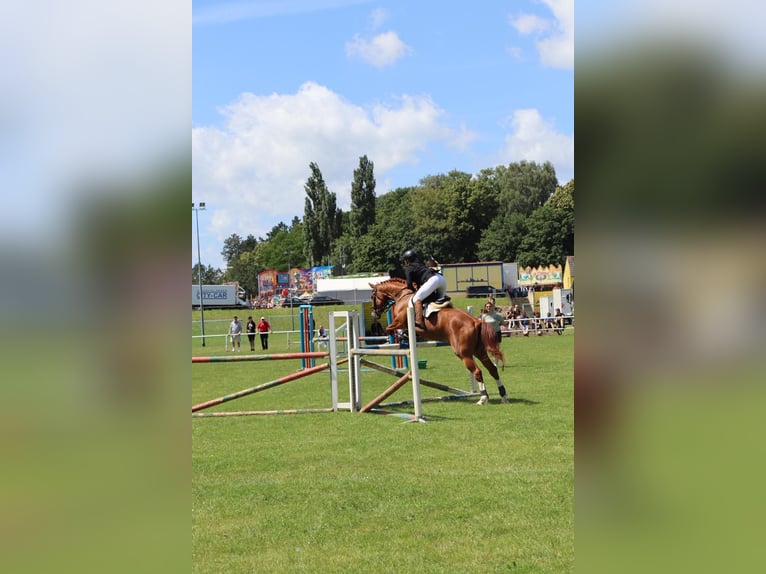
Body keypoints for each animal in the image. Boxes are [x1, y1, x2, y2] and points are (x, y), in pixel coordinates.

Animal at [369, 278, 509, 405]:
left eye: (372, 296)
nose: (374, 314)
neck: (402, 296)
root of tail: (476, 321)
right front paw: (402, 335)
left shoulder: (399, 321)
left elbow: (389, 328)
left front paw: (401, 335)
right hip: (479, 351)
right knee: (492, 369)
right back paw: (503, 395)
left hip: (463, 353)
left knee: (477, 371)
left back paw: (483, 398)